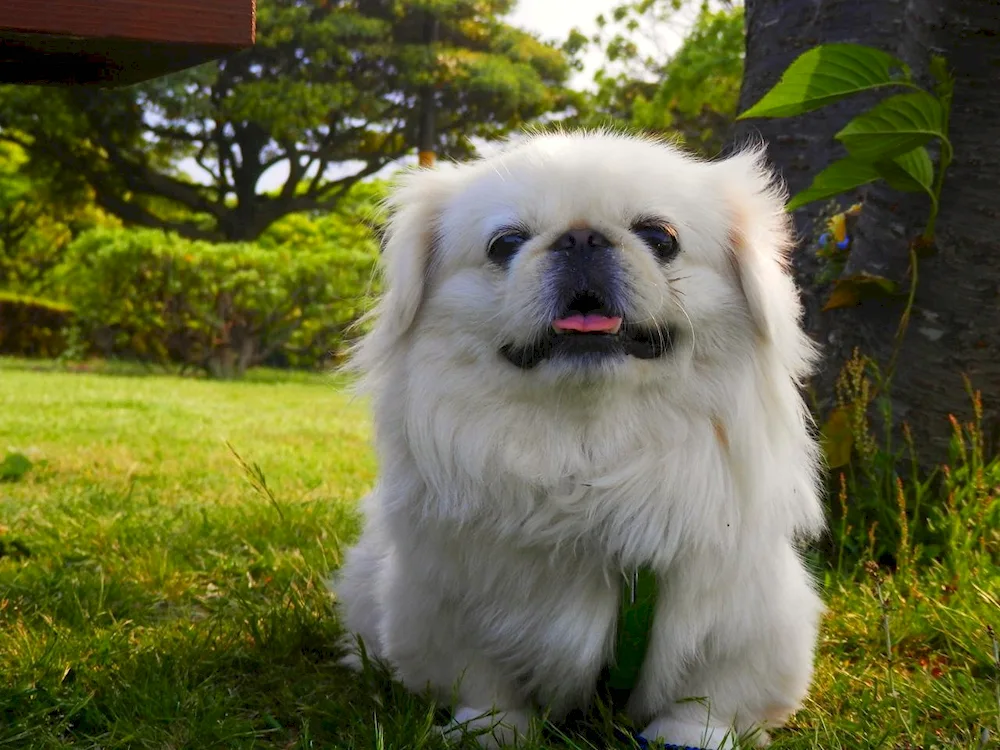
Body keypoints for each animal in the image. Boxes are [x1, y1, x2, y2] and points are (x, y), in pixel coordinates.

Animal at [332, 132, 824, 748]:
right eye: (505, 243)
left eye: (660, 237)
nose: (582, 236)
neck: (586, 449)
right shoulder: (450, 602)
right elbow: (483, 682)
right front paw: (491, 732)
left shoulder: (740, 612)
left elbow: (709, 692)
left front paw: (692, 736)